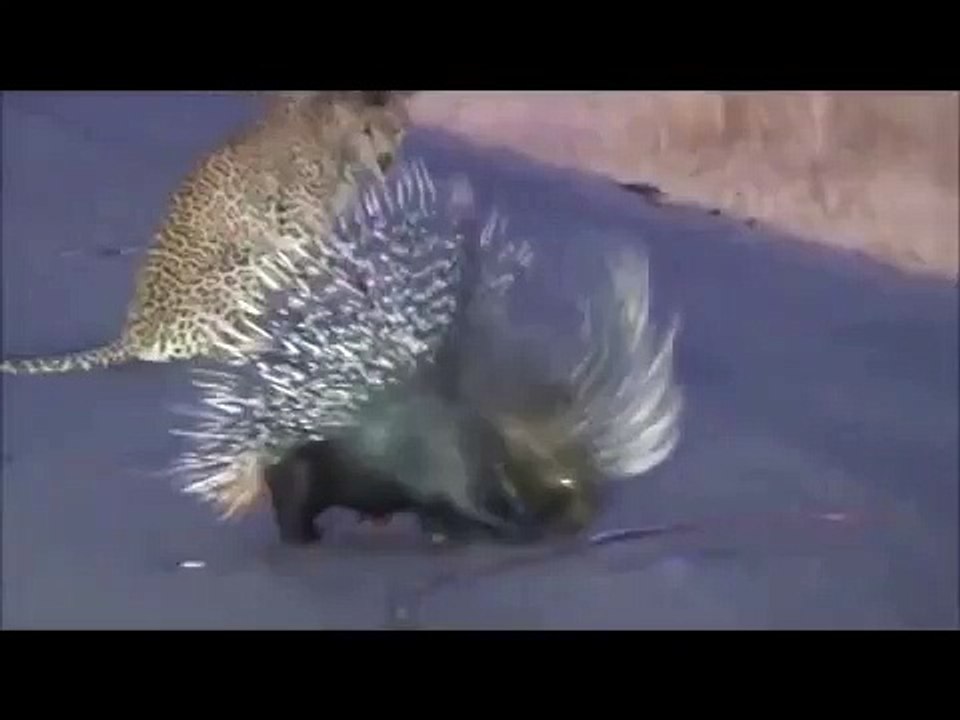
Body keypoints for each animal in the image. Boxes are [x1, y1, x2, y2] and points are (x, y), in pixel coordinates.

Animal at [1, 91, 417, 375]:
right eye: (366, 131)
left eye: (396, 129)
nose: (386, 161)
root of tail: (131, 335)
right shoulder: (294, 230)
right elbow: (336, 275)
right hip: (240, 261)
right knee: (214, 345)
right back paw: (259, 343)